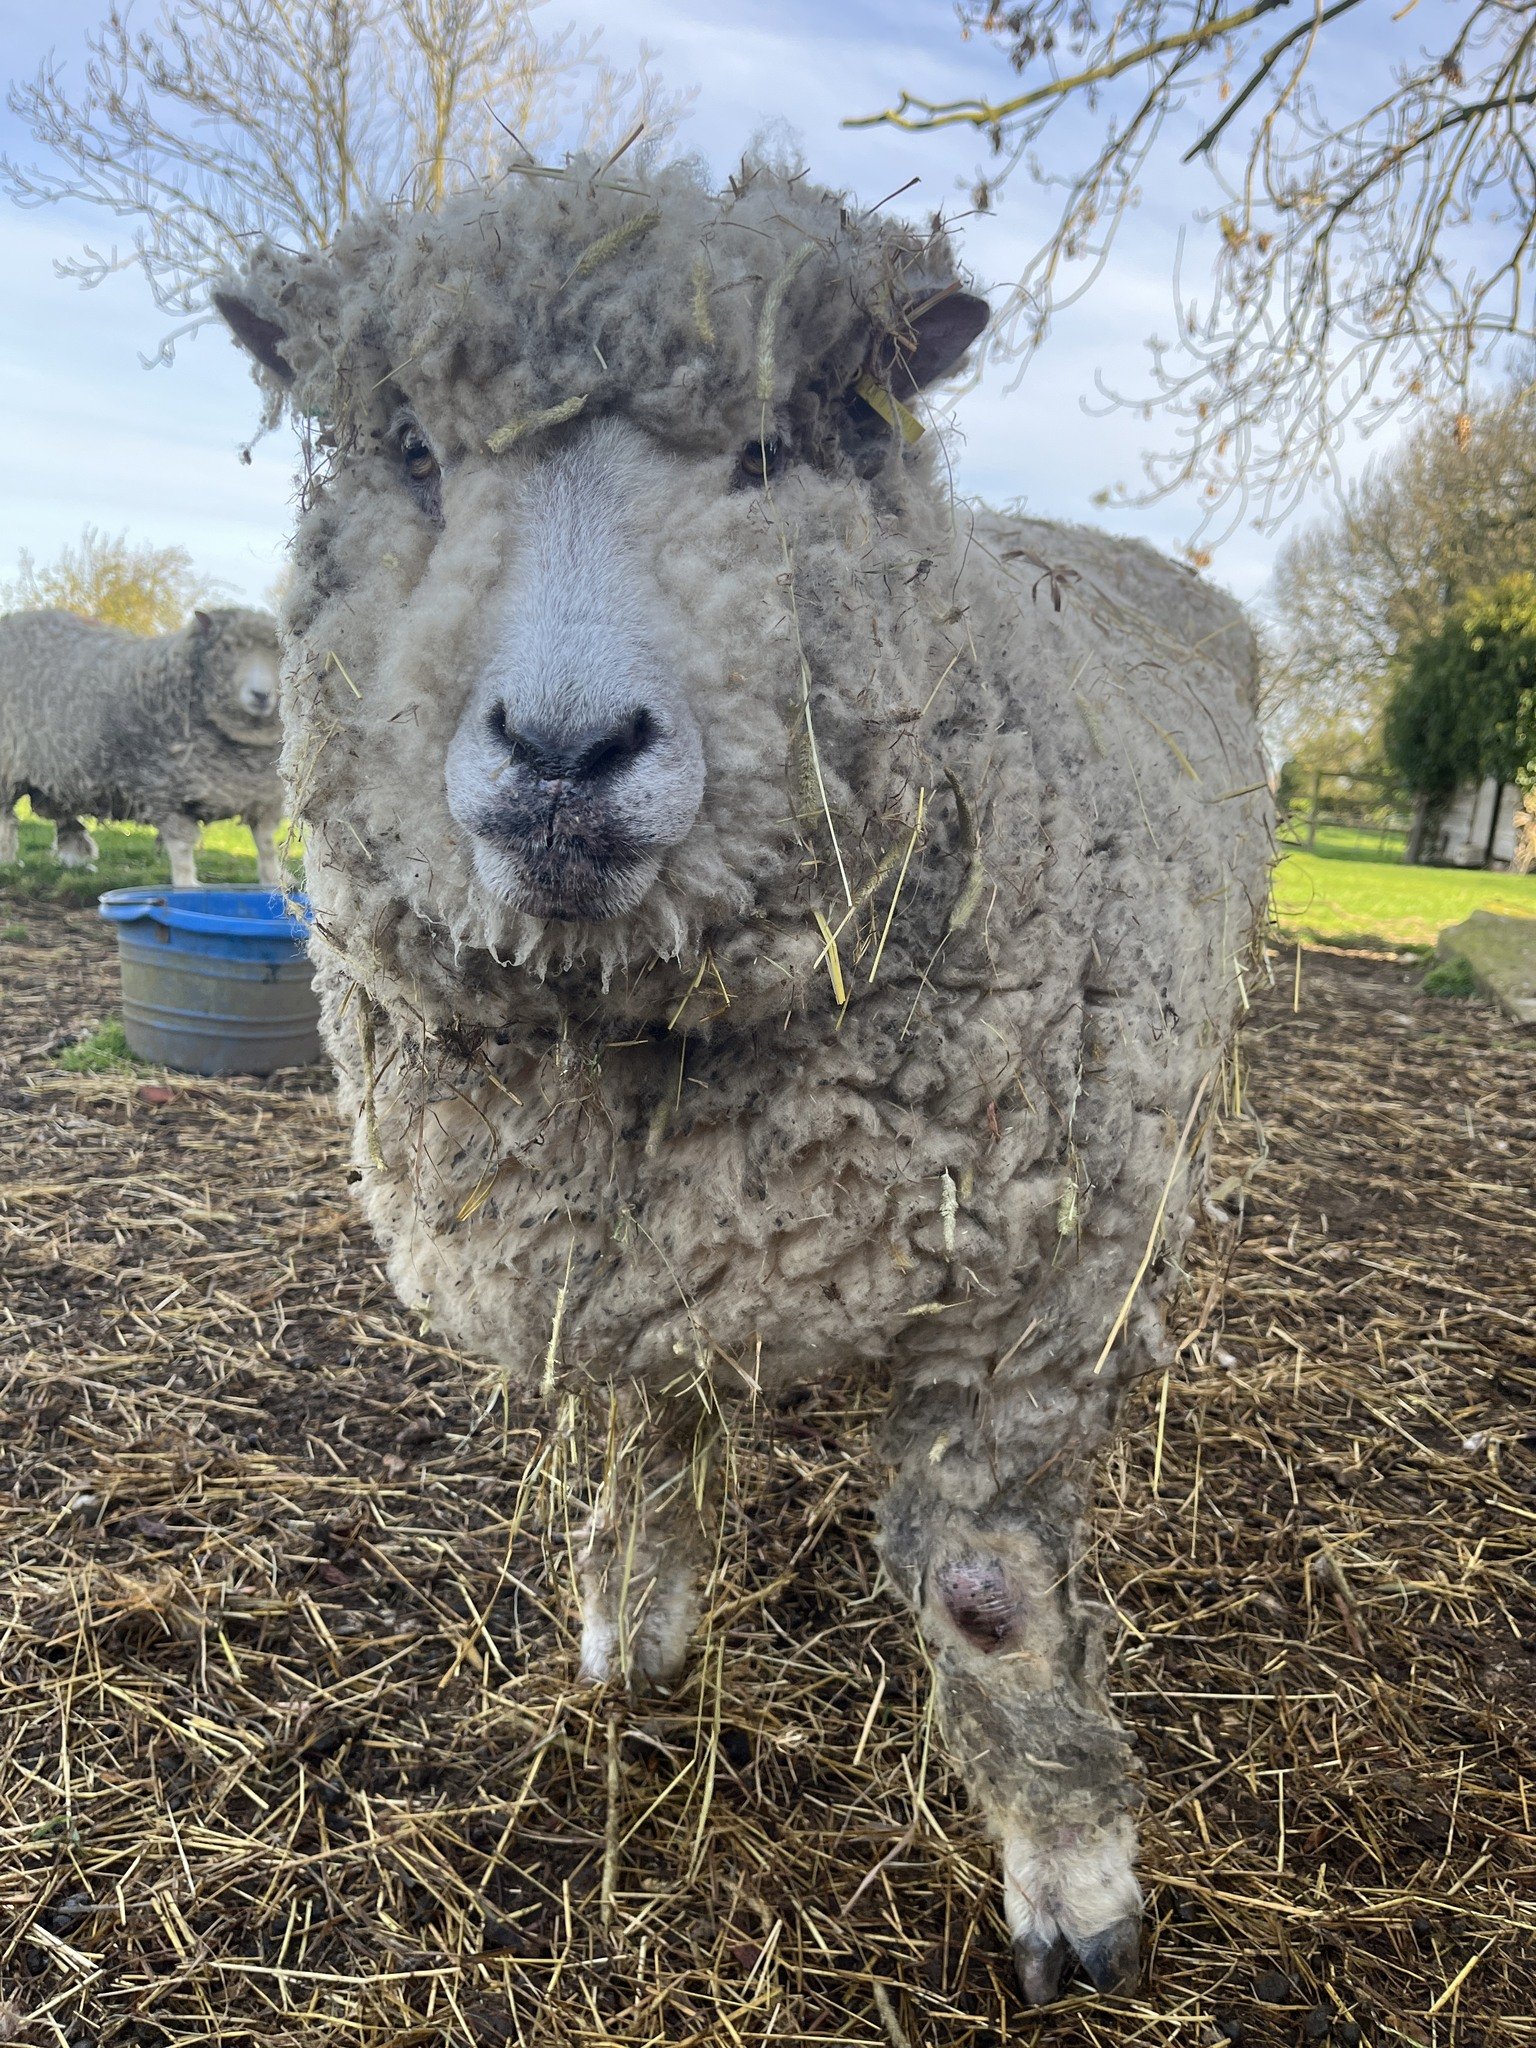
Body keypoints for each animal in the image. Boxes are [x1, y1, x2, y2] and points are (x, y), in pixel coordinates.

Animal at [0, 606, 285, 885]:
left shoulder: (261, 798)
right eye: (226, 648)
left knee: (62, 808)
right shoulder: (166, 791)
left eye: (280, 652)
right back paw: (7, 862)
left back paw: (75, 852)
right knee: (6, 819)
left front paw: (273, 883)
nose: (261, 695)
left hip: (59, 769)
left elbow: (267, 846)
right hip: (8, 766)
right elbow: (182, 848)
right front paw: (186, 885)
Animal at [213, 155, 1273, 2003]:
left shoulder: (1038, 1295)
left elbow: (990, 1593)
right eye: (412, 449)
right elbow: (647, 1447)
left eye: (770, 456)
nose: (565, 753)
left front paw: (1075, 1889)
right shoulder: (632, 1264)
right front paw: (629, 1646)